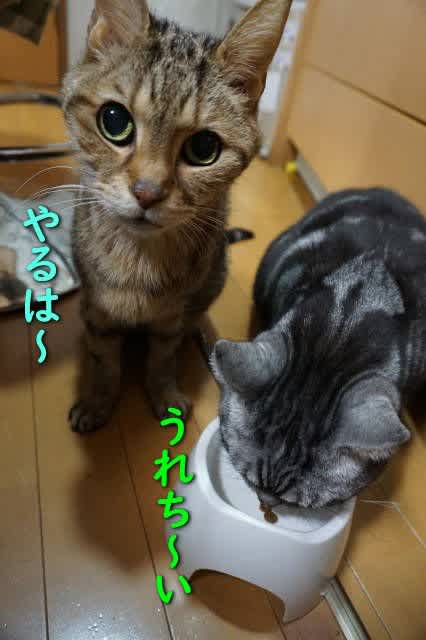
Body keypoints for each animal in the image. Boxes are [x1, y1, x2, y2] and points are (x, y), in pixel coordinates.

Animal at [62, 0, 292, 433]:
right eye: (114, 121)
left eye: (204, 148)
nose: (147, 192)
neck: (138, 258)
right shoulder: (100, 311)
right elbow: (104, 361)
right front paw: (98, 401)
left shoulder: (171, 317)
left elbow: (162, 360)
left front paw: (165, 394)